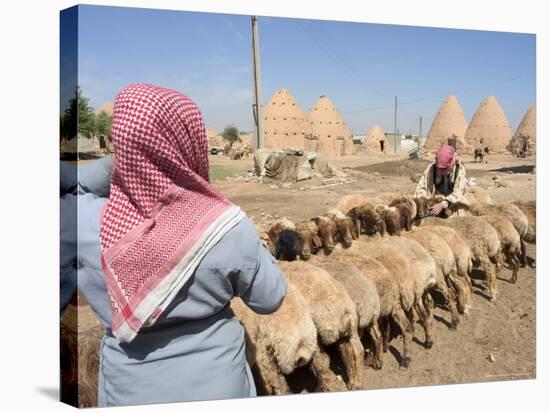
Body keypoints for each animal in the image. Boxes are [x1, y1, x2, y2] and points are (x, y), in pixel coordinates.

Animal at [280, 260, 366, 390]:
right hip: (351, 331)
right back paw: (356, 383)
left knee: (322, 361)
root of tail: (345, 312)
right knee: (356, 351)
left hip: (317, 332)